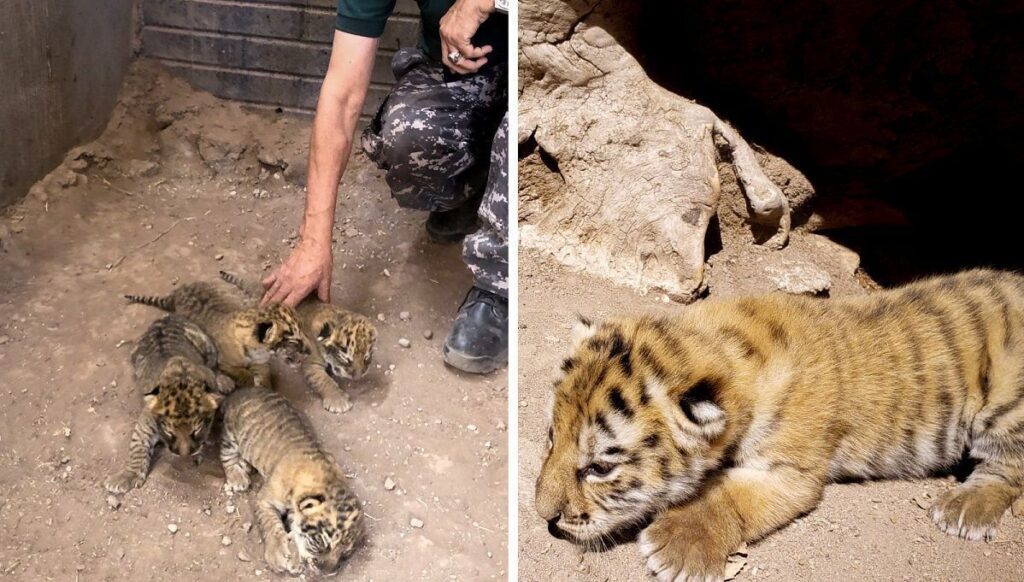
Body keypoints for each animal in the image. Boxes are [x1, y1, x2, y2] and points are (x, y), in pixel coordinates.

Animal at [104, 314, 234, 494]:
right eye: (170, 433)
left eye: (196, 431)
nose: (184, 455)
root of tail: (166, 317)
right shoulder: (145, 424)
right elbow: (137, 448)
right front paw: (127, 477)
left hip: (205, 343)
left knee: (213, 364)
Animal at [125, 281, 311, 389]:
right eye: (295, 340)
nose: (309, 352)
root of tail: (175, 294)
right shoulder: (224, 363)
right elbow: (242, 373)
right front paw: (249, 380)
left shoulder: (261, 361)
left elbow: (263, 372)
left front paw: (265, 383)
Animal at [218, 270, 377, 413]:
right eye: (346, 358)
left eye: (366, 357)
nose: (358, 376)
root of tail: (261, 289)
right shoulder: (311, 364)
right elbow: (323, 381)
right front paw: (338, 400)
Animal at [220, 386, 364, 575]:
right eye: (322, 545)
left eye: (345, 554)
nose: (327, 572)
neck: (328, 479)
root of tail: (244, 389)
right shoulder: (264, 500)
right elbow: (270, 525)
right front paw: (277, 554)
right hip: (231, 435)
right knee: (226, 455)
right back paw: (238, 477)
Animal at [535, 268, 1024, 582]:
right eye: (551, 437)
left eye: (600, 468)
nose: (545, 518)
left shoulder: (792, 473)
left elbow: (728, 497)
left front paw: (675, 546)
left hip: (1007, 395)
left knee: (1007, 467)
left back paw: (963, 508)